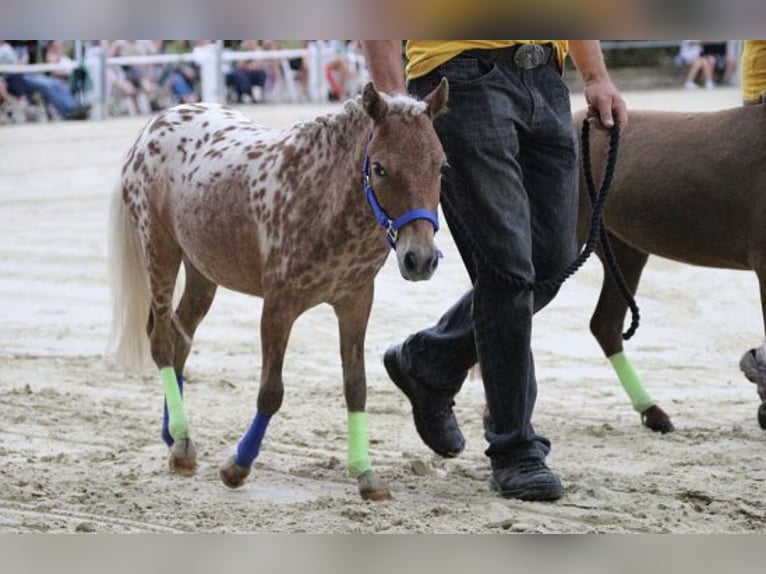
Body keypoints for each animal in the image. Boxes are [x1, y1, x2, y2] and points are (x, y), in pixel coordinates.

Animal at [108, 79, 450, 502]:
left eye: (441, 165)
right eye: (380, 167)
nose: (420, 259)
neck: (323, 197)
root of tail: (153, 125)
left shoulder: (355, 301)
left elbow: (356, 386)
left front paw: (365, 473)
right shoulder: (278, 306)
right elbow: (271, 391)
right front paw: (238, 465)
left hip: (203, 269)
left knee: (179, 338)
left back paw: (174, 437)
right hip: (160, 252)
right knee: (160, 342)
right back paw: (183, 441)